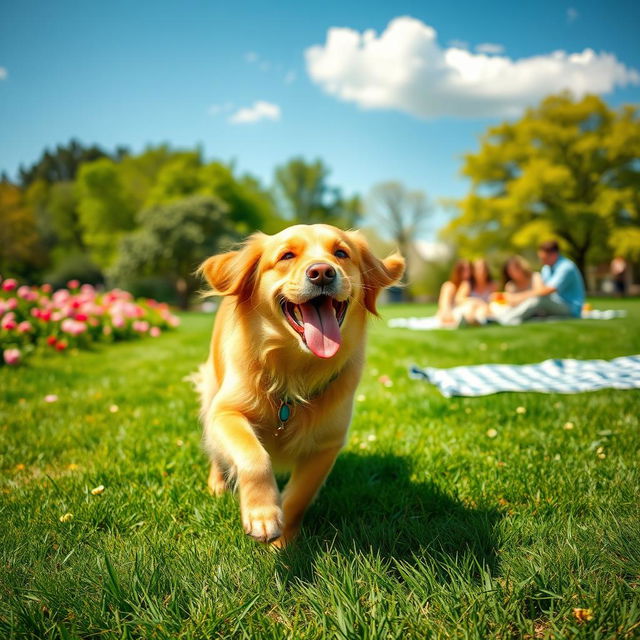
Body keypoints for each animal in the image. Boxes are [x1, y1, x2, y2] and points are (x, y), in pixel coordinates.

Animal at [196, 222, 404, 548]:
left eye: (341, 253)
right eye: (287, 256)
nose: (322, 272)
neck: (295, 371)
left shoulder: (327, 445)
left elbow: (300, 496)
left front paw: (282, 541)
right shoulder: (226, 411)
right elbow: (254, 456)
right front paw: (263, 515)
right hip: (210, 393)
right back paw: (217, 483)